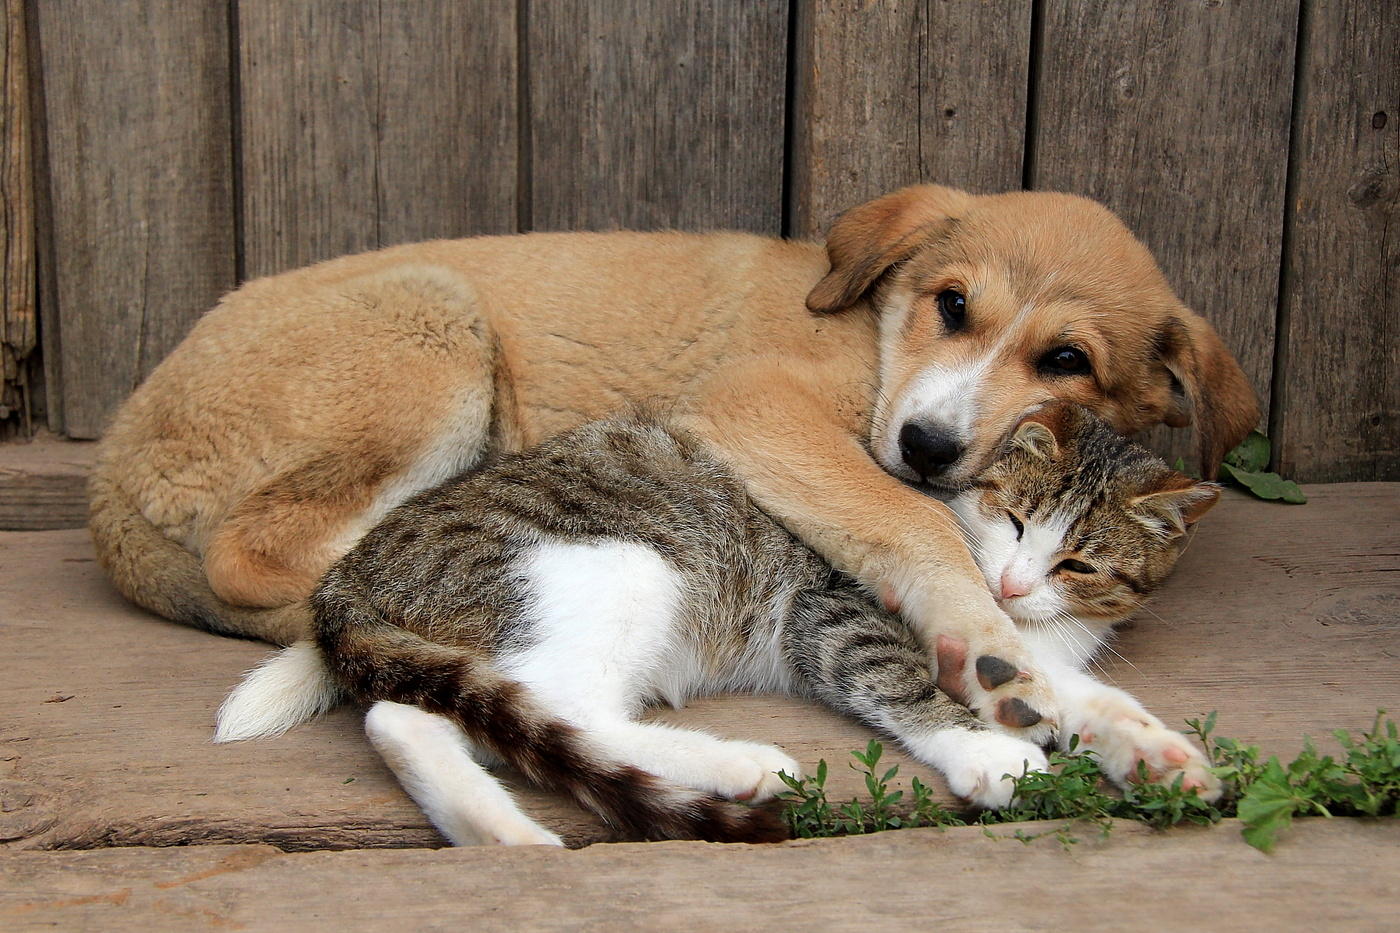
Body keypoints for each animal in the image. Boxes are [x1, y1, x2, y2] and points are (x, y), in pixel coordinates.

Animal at [93, 179, 1265, 734]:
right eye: (953, 304)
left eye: (1067, 359)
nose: (928, 444)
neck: (874, 335)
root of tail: (111, 463)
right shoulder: (756, 408)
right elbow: (907, 515)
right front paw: (987, 649)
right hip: (436, 324)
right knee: (254, 556)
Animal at [212, 400, 1220, 840]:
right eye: (1009, 518)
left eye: (1078, 562)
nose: (1010, 583)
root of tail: (347, 572)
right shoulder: (837, 605)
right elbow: (898, 675)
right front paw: (987, 749)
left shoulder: (1027, 651)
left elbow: (1072, 692)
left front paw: (1154, 751)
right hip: (618, 563)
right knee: (537, 710)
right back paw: (736, 765)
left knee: (426, 713)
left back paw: (501, 832)